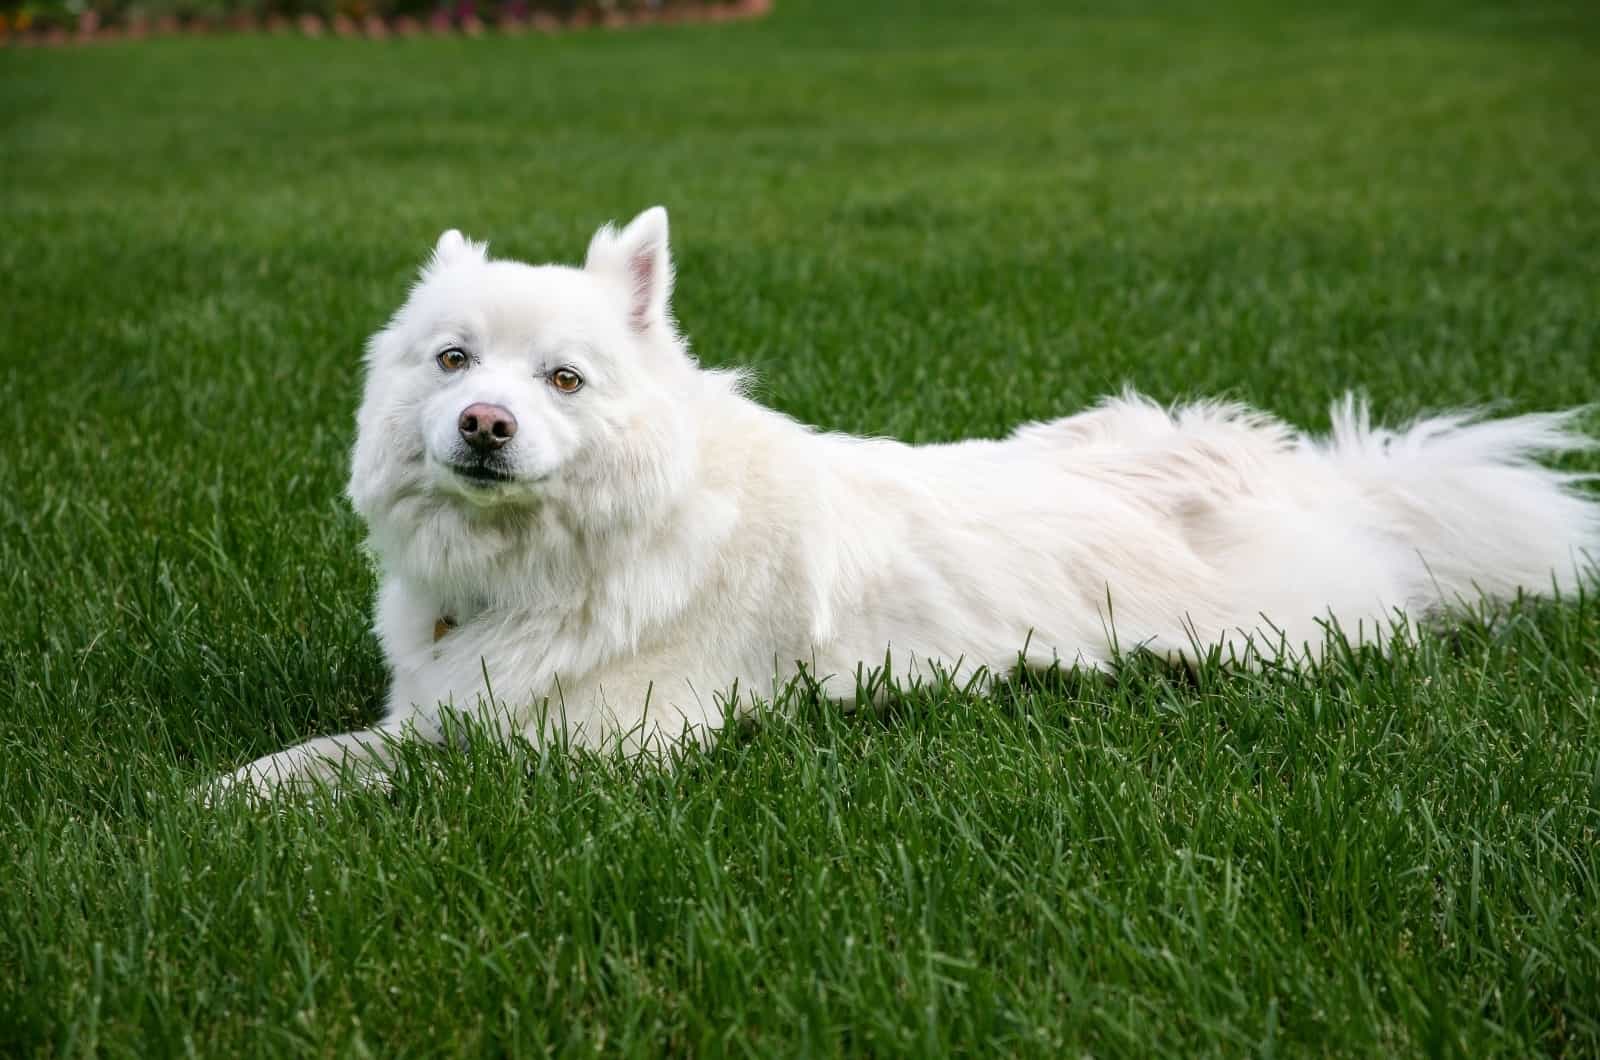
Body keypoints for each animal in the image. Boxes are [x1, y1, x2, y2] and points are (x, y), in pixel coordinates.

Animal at [216, 208, 1600, 800]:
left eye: (562, 378)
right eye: (453, 361)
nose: (484, 426)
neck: (549, 566)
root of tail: (1318, 472)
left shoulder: (599, 749)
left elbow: (413, 773)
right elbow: (332, 753)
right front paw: (230, 795)